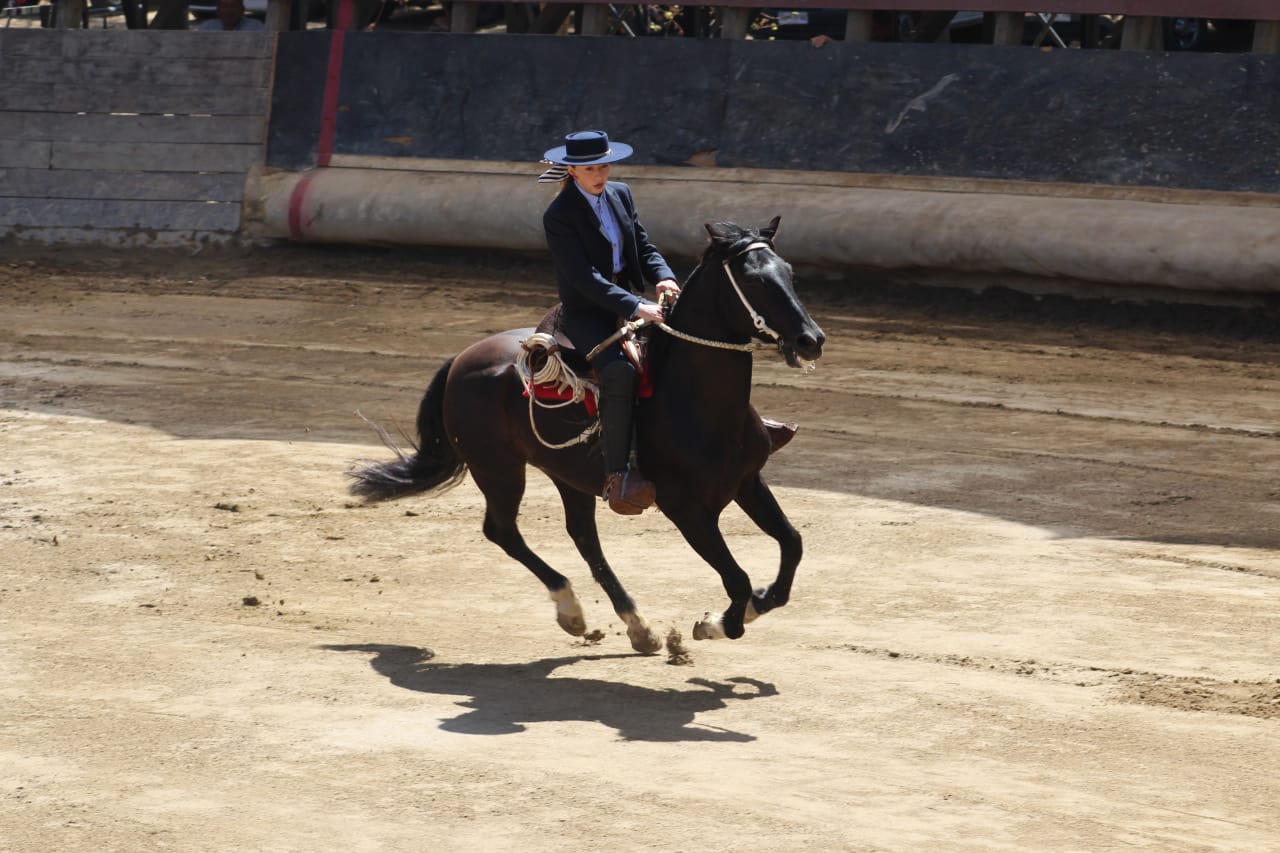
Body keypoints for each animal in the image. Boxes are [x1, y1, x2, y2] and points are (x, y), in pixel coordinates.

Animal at [348, 216, 829, 648]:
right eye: (754, 281)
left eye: (788, 273)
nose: (811, 340)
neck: (699, 406)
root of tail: (462, 359)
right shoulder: (687, 509)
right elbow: (737, 576)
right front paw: (718, 623)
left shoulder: (747, 482)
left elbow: (792, 544)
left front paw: (751, 606)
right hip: (499, 470)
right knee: (502, 531)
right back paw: (572, 611)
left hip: (567, 475)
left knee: (583, 538)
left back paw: (638, 627)